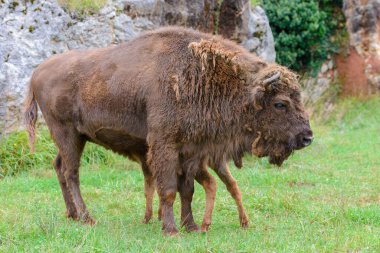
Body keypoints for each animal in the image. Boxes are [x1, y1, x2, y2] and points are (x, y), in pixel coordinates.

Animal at [25, 26, 314, 236]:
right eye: (280, 103)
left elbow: (188, 190)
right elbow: (168, 189)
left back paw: (73, 215)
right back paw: (87, 218)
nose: (307, 137)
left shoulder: (191, 150)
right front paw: (171, 230)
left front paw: (192, 227)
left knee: (59, 167)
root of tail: (37, 72)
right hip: (67, 134)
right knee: (71, 172)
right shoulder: (165, 145)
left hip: (74, 138)